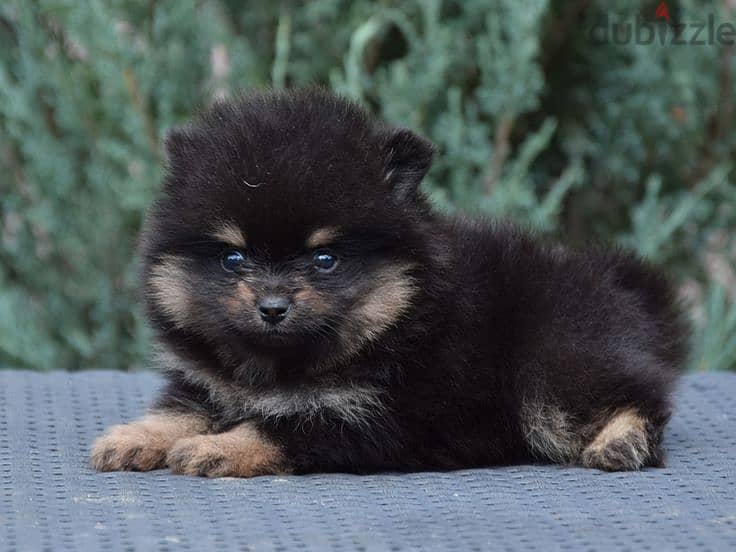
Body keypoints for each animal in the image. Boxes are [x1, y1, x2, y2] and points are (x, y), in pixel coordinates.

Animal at [92, 88, 688, 476]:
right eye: (233, 258)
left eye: (325, 259)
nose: (273, 306)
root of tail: (626, 288)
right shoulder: (207, 383)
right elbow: (182, 410)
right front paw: (135, 436)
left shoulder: (380, 415)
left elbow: (285, 426)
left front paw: (219, 447)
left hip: (554, 357)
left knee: (636, 398)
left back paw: (621, 441)